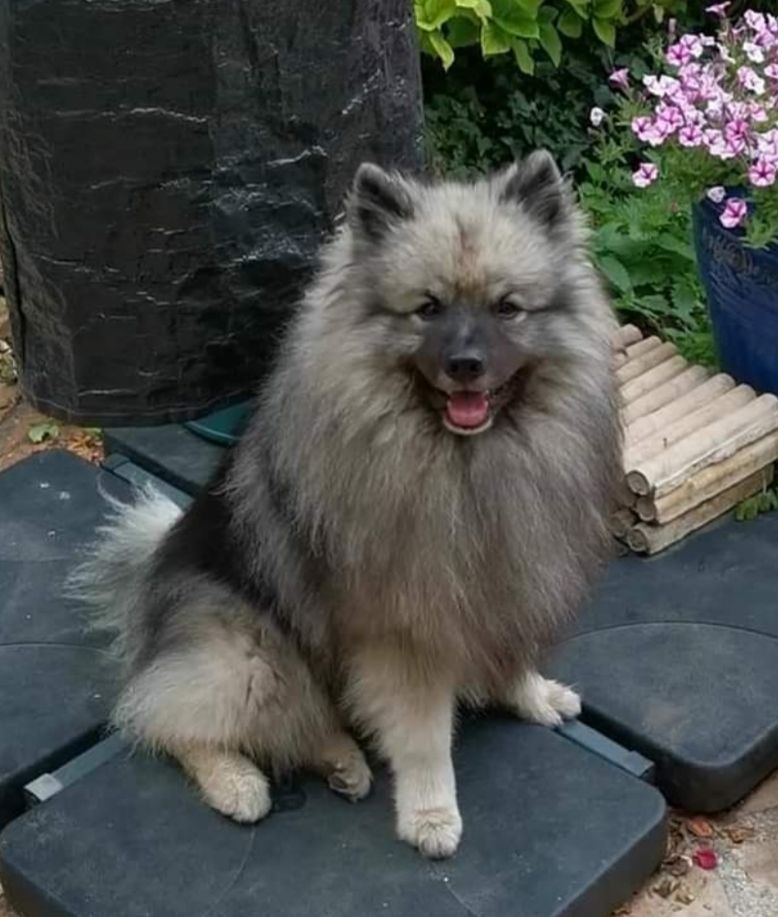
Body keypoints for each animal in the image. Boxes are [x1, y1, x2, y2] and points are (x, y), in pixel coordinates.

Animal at [69, 151, 622, 859]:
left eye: (507, 308)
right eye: (428, 308)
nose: (466, 363)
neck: (467, 464)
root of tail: (150, 581)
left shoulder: (505, 584)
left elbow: (507, 656)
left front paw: (530, 694)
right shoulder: (404, 631)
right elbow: (422, 732)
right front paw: (430, 813)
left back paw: (340, 760)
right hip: (251, 658)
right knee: (164, 717)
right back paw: (240, 782)